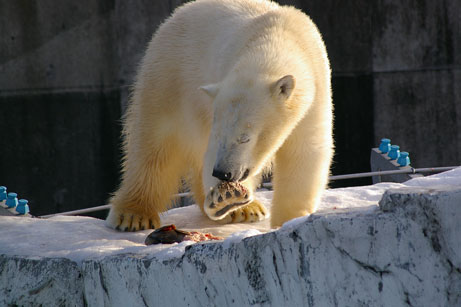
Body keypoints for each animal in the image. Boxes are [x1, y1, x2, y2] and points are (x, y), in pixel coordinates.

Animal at [106, 0, 332, 232]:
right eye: (219, 135)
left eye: (245, 138)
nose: (223, 173)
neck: (277, 38)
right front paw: (227, 197)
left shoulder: (315, 91)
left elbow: (305, 149)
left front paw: (292, 219)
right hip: (169, 78)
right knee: (154, 145)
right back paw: (133, 215)